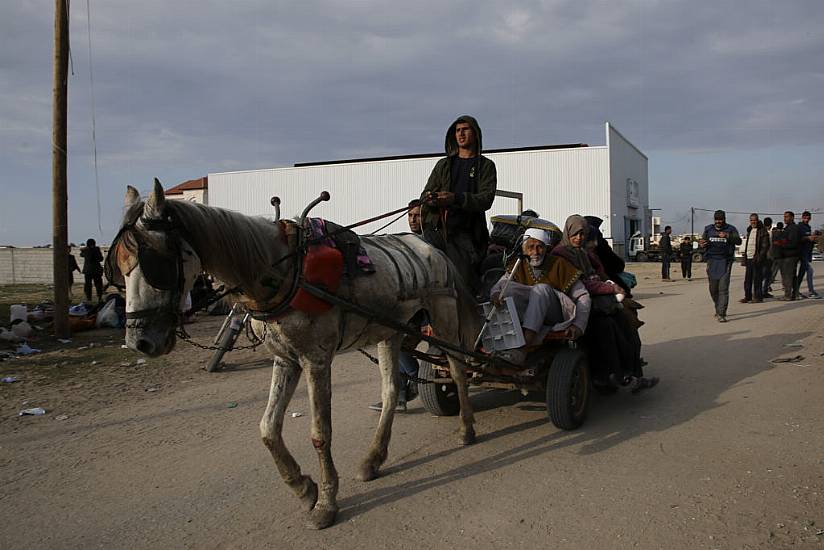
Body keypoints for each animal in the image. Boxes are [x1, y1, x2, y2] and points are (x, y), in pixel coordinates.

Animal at [112, 183, 480, 532]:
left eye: (156, 262)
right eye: (118, 268)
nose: (139, 342)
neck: (286, 272)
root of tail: (430, 247)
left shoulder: (316, 360)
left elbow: (320, 433)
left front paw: (326, 503)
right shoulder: (285, 359)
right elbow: (268, 428)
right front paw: (303, 487)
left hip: (443, 317)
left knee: (457, 369)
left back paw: (466, 428)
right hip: (390, 331)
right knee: (390, 390)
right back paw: (373, 459)